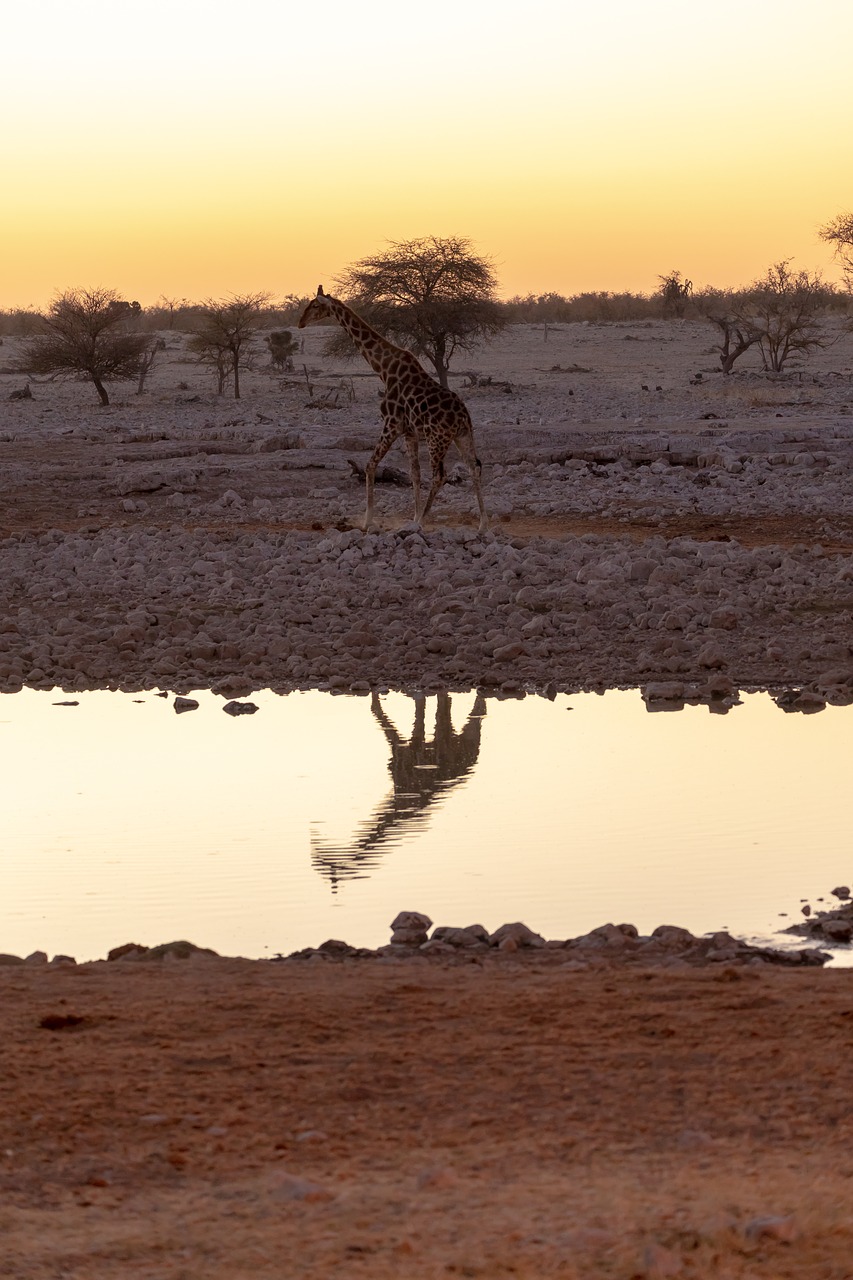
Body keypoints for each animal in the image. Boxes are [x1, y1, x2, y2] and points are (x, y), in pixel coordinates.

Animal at [298, 288, 484, 532]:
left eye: (315, 305)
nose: (300, 322)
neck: (384, 369)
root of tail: (463, 416)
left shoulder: (391, 424)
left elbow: (370, 465)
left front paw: (368, 521)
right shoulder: (409, 432)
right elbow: (415, 474)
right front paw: (412, 517)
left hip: (437, 439)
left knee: (439, 476)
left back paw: (424, 521)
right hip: (462, 436)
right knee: (474, 467)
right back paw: (484, 522)